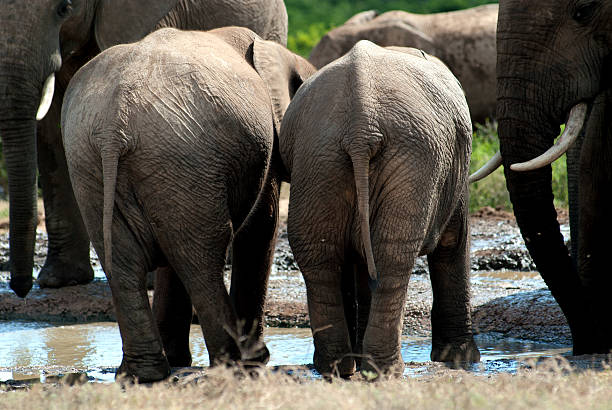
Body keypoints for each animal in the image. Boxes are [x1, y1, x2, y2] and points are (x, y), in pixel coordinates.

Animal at [61, 27, 316, 382]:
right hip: (182, 155)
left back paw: (144, 373)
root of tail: (115, 123)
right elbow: (261, 227)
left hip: (96, 162)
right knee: (201, 261)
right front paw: (257, 359)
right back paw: (234, 363)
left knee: (128, 264)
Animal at [276, 41, 478, 378]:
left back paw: (337, 367)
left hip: (319, 158)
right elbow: (453, 241)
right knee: (392, 254)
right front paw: (461, 359)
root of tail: (361, 122)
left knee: (320, 255)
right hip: (413, 157)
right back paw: (384, 369)